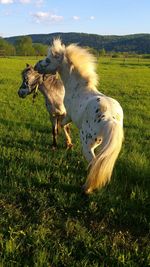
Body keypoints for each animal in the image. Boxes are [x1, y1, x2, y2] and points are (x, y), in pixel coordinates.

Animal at [34, 38, 123, 194]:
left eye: (48, 59)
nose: (35, 66)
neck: (77, 87)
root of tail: (110, 118)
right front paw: (68, 143)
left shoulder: (67, 114)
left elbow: (62, 124)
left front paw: (68, 142)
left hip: (87, 145)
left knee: (93, 163)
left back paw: (86, 188)